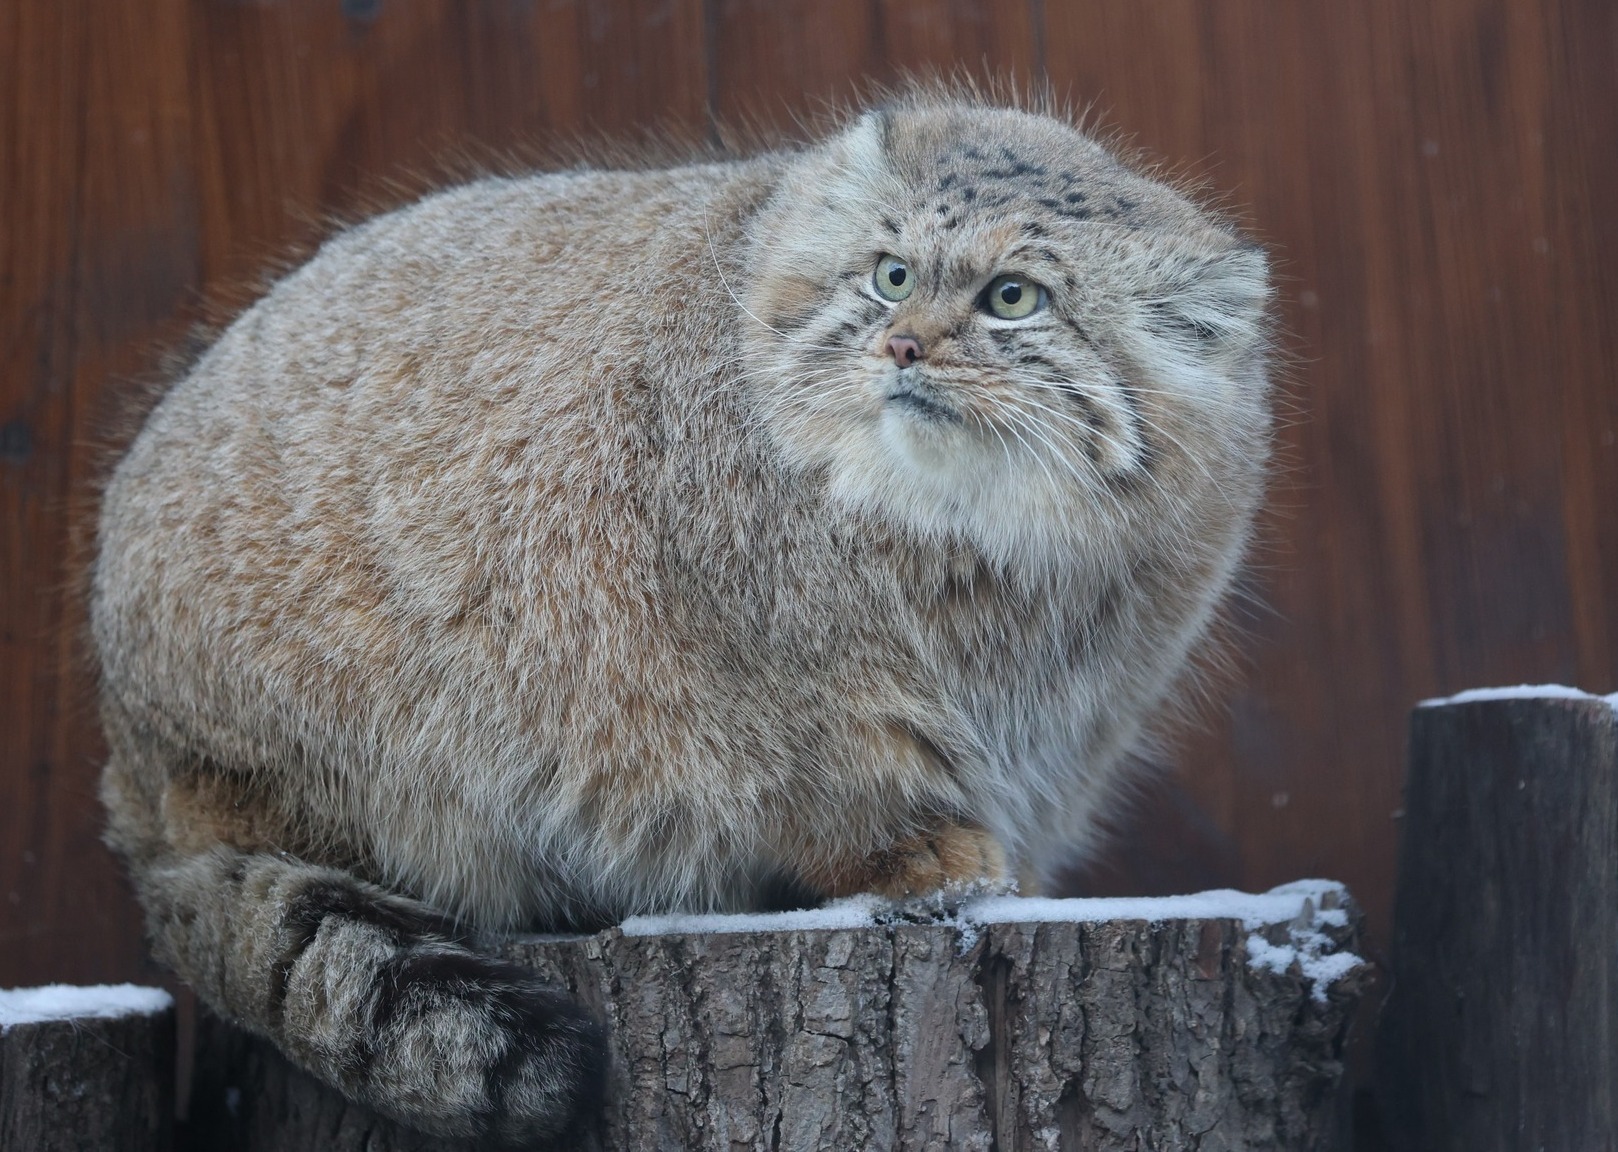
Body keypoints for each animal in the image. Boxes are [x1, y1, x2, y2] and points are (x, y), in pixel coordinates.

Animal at [91, 92, 1274, 1145]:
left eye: (1013, 298)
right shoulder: (777, 694)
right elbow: (840, 789)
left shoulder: (1091, 706)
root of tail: (135, 760)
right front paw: (922, 861)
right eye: (889, 275)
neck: (973, 551)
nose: (901, 346)